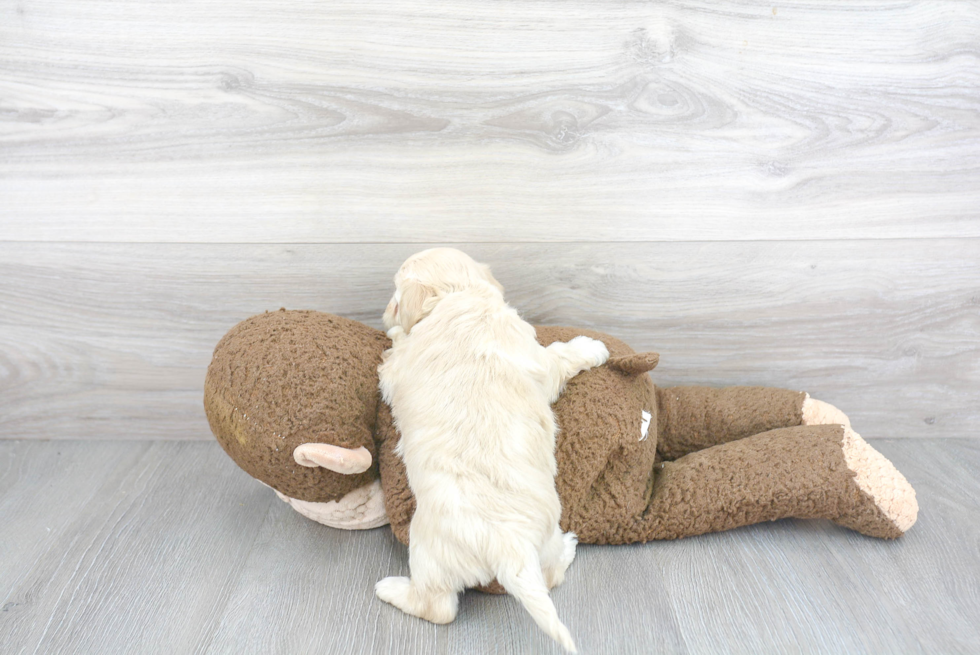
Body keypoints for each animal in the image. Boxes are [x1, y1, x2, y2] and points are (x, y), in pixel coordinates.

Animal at [376, 249, 604, 652]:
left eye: (396, 295)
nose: (384, 310)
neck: (458, 296)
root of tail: (509, 546)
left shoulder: (394, 370)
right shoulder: (532, 354)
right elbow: (558, 357)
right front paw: (591, 347)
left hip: (427, 551)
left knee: (437, 607)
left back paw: (390, 589)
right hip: (543, 540)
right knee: (550, 575)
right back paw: (568, 547)